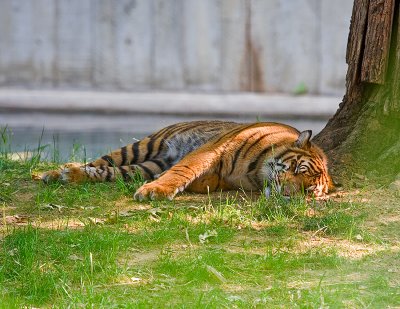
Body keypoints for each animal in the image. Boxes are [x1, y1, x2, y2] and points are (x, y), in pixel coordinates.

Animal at [40, 120, 334, 200]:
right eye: (297, 168)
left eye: (308, 190)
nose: (287, 194)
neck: (256, 173)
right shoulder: (211, 150)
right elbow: (183, 170)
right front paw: (157, 190)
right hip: (141, 146)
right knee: (101, 162)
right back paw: (55, 173)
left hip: (143, 167)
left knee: (110, 172)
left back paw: (68, 175)